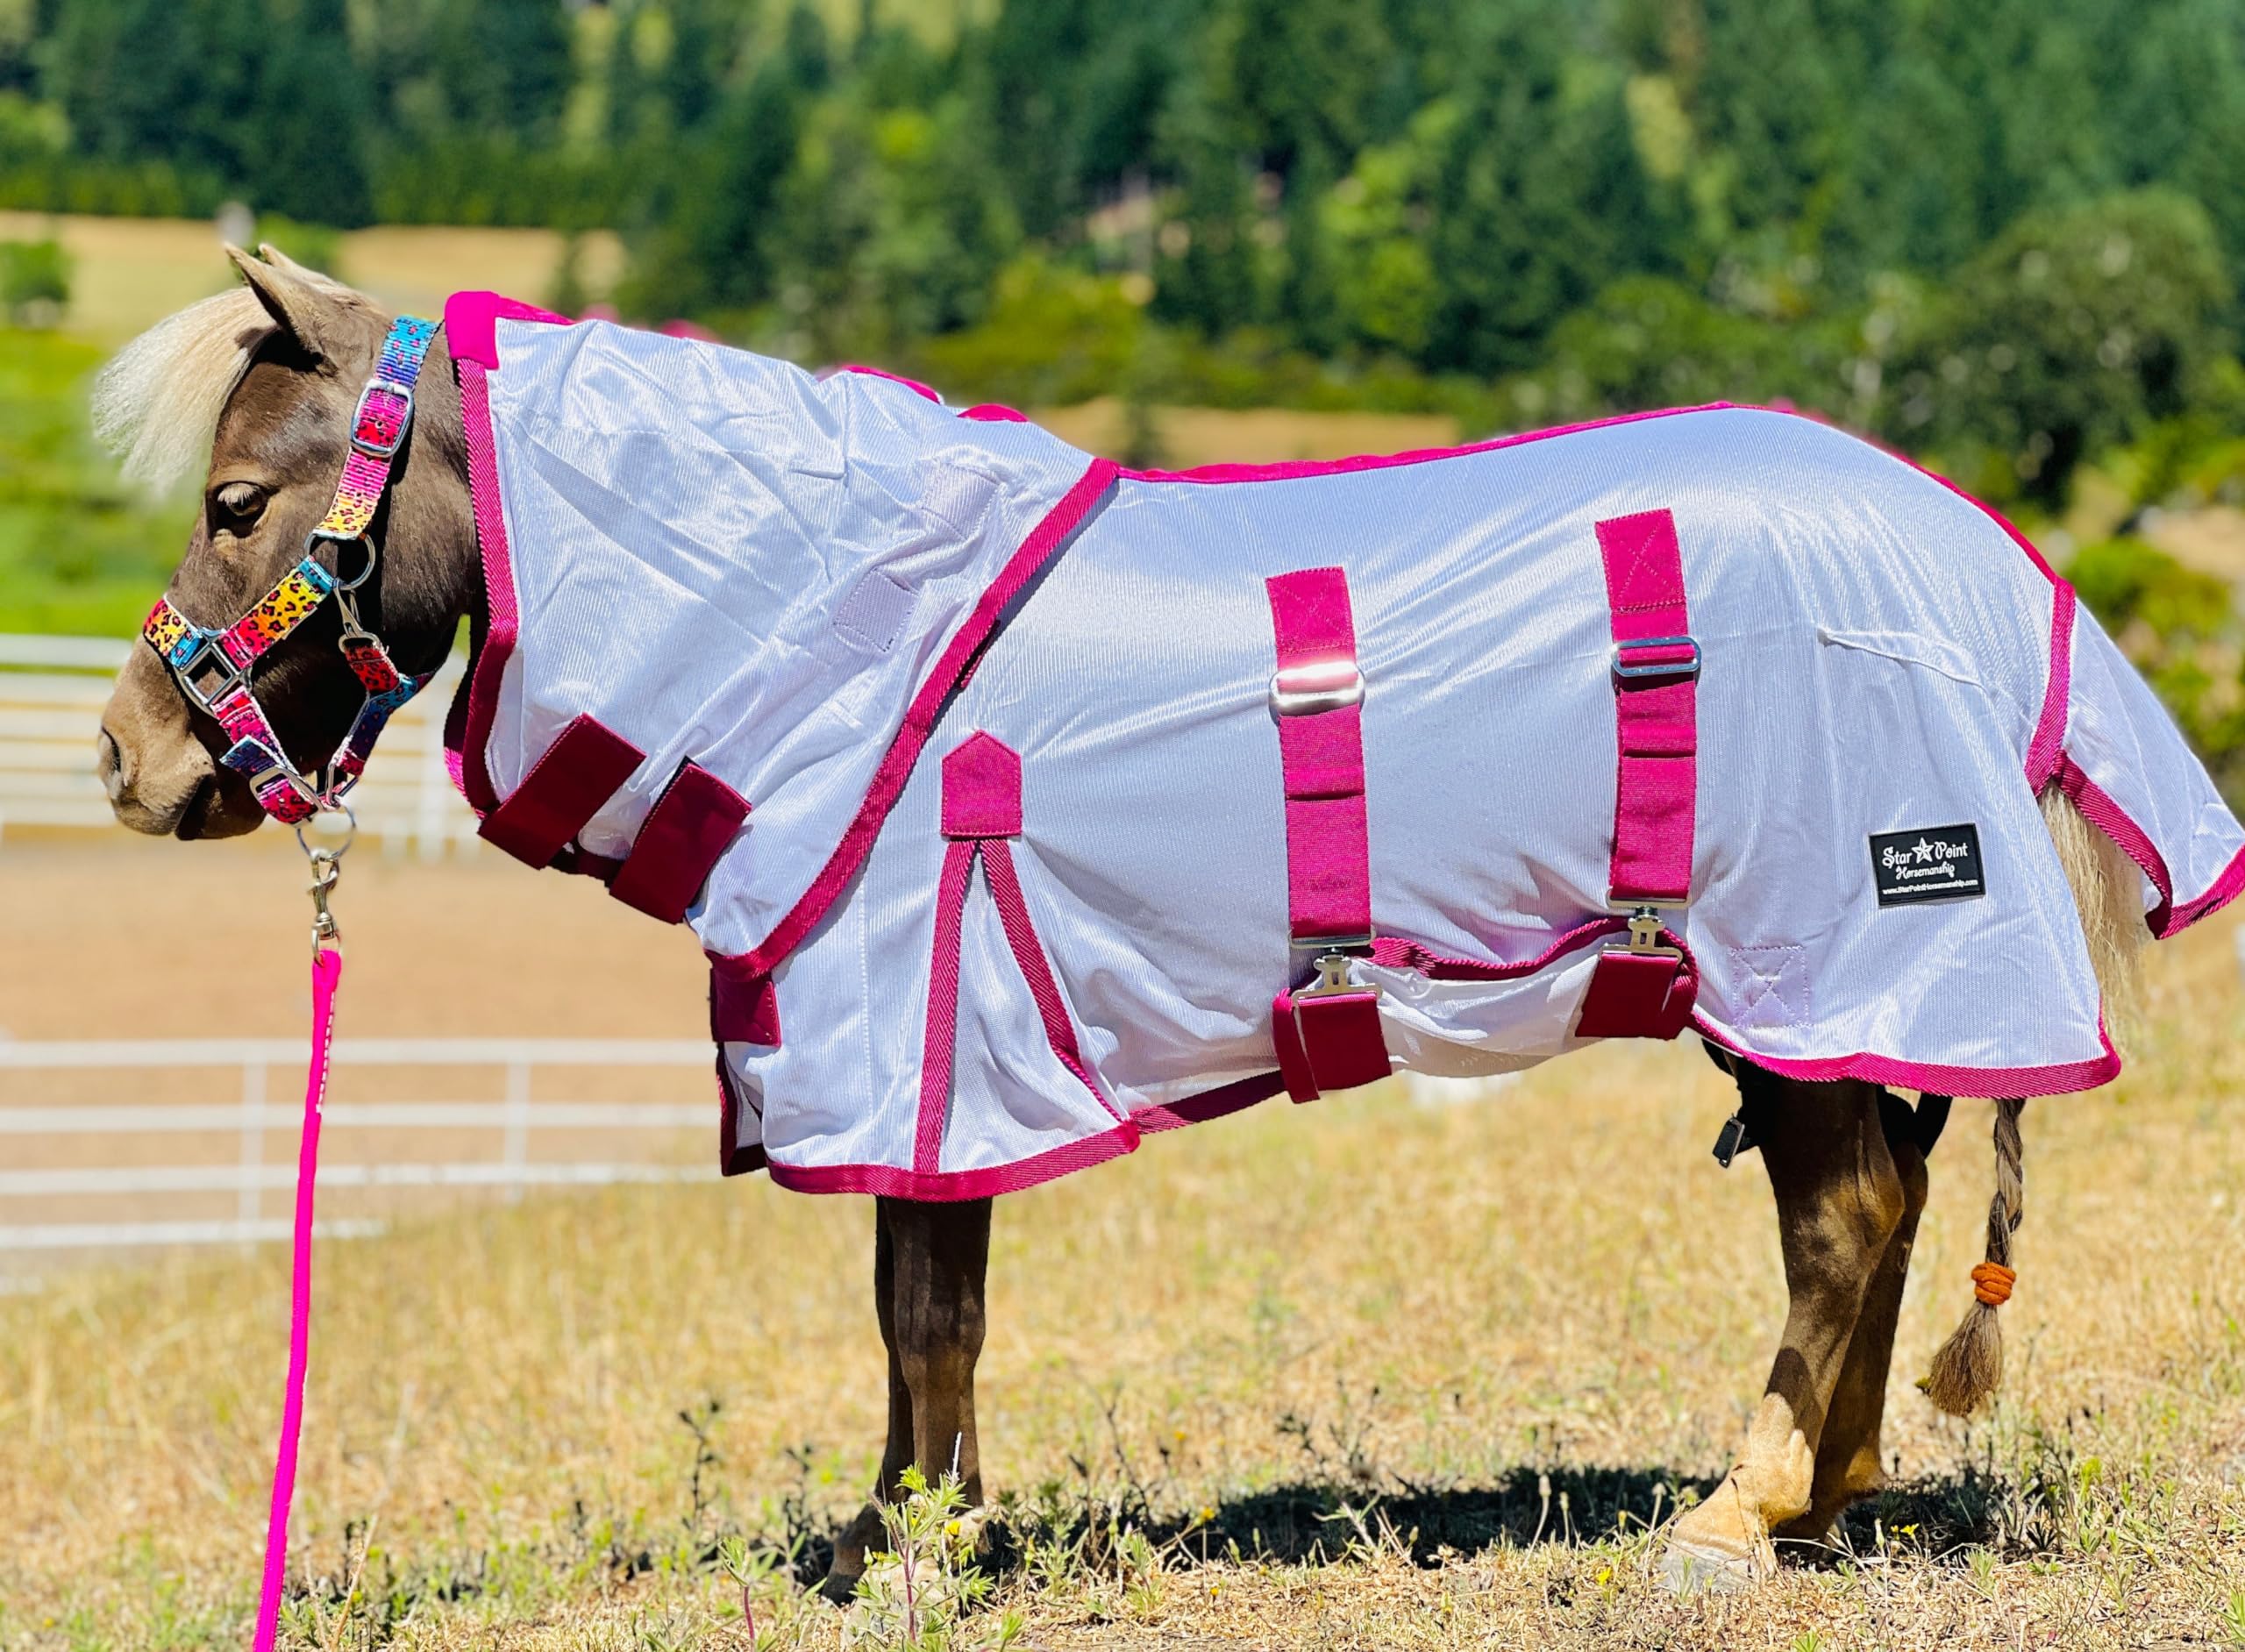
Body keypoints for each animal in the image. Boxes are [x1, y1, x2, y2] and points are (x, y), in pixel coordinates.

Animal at [92, 246, 2218, 1597]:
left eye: (238, 496)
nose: (125, 757)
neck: (843, 633)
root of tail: (1981, 559)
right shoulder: (912, 1044)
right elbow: (907, 1309)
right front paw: (898, 1527)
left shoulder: (921, 1024)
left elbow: (930, 1308)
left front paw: (927, 1551)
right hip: (1817, 990)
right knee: (1877, 1202)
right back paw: (1828, 1495)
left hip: (1825, 939)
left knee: (1843, 1216)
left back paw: (1733, 1510)